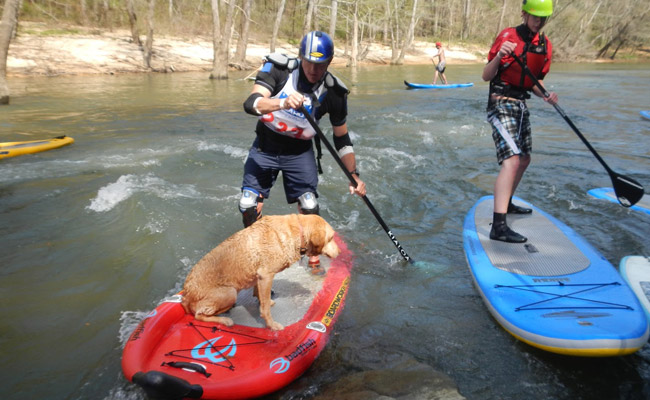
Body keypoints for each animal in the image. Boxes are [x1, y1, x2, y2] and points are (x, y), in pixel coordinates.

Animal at [178, 214, 336, 330]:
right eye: (331, 238)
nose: (339, 251)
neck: (297, 232)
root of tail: (186, 296)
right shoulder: (266, 275)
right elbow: (265, 309)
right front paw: (271, 325)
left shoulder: (259, 277)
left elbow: (261, 296)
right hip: (230, 293)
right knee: (198, 315)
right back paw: (225, 320)